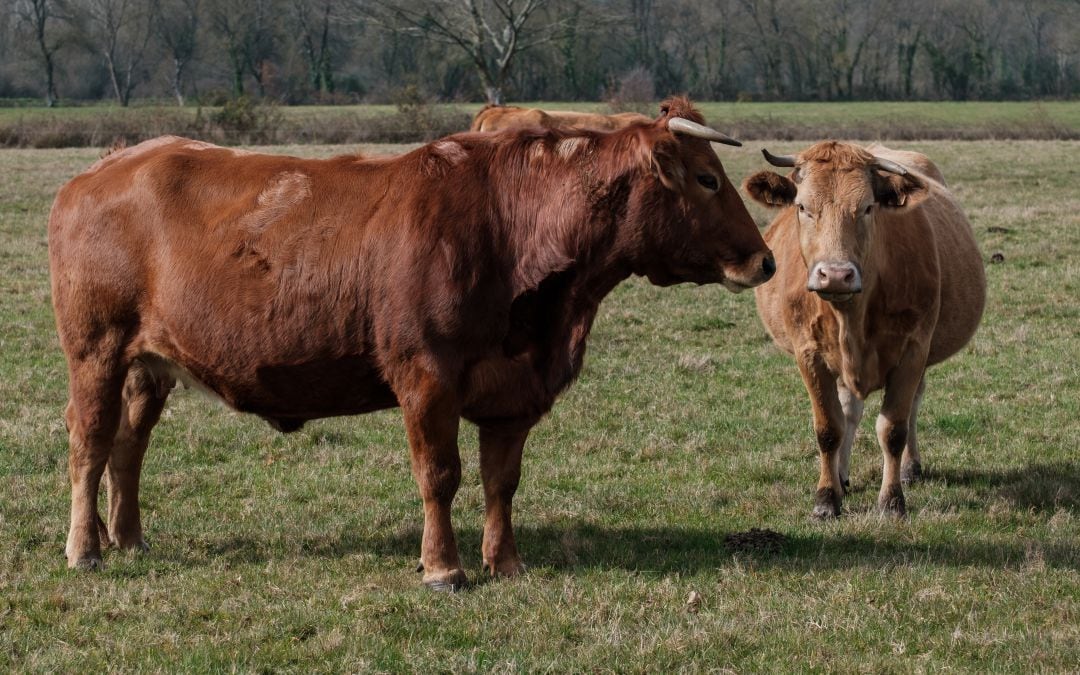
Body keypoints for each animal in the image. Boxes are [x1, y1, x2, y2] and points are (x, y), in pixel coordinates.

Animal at [52, 97, 777, 587]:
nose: (765, 260)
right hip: (95, 350)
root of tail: (107, 166)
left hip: (149, 365)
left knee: (129, 445)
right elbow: (440, 474)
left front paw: (505, 561)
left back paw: (130, 537)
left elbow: (500, 480)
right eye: (708, 179)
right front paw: (443, 567)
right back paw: (85, 547)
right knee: (90, 442)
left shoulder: (512, 391)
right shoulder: (426, 375)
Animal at [747, 142, 984, 518]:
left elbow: (893, 429)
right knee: (848, 413)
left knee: (912, 405)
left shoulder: (913, 350)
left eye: (868, 207)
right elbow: (829, 428)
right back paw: (843, 476)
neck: (852, 314)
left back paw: (910, 468)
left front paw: (891, 500)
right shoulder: (809, 353)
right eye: (803, 207)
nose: (835, 275)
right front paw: (827, 497)